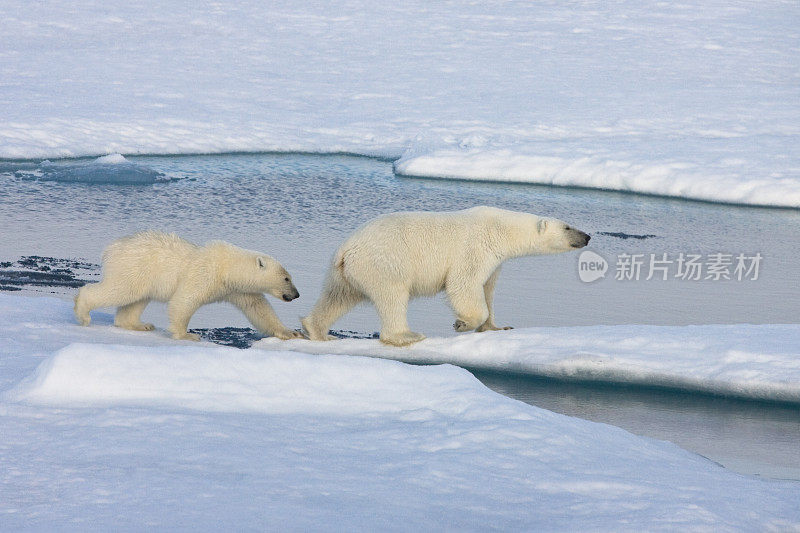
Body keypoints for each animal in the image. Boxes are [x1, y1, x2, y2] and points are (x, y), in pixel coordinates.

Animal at [75, 232, 302, 340]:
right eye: (286, 278)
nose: (296, 294)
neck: (227, 268)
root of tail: (111, 249)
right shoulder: (204, 274)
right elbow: (184, 300)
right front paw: (187, 335)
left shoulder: (239, 290)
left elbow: (259, 309)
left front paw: (290, 333)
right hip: (134, 267)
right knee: (121, 290)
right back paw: (83, 313)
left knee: (137, 299)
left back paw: (140, 325)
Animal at [304, 206, 592, 348]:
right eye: (568, 227)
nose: (587, 236)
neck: (501, 229)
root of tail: (345, 249)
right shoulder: (476, 247)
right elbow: (464, 284)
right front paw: (462, 324)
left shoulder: (495, 261)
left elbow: (487, 289)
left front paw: (498, 327)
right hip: (383, 263)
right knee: (393, 296)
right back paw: (406, 335)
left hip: (347, 272)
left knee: (337, 297)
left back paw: (317, 330)